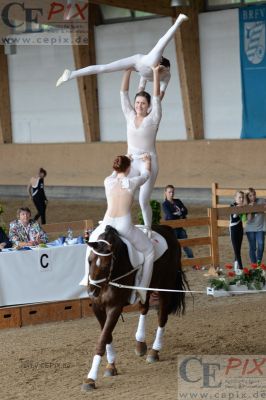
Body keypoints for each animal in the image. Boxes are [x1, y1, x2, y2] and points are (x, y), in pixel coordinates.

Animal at [82, 225, 188, 390]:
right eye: (89, 261)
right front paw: (111, 366)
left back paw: (154, 352)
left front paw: (90, 379)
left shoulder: (115, 307)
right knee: (144, 308)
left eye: (105, 266)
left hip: (165, 288)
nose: (91, 292)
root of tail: (168, 229)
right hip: (148, 288)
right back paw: (140, 344)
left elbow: (102, 339)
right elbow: (107, 336)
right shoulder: (97, 308)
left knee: (162, 318)